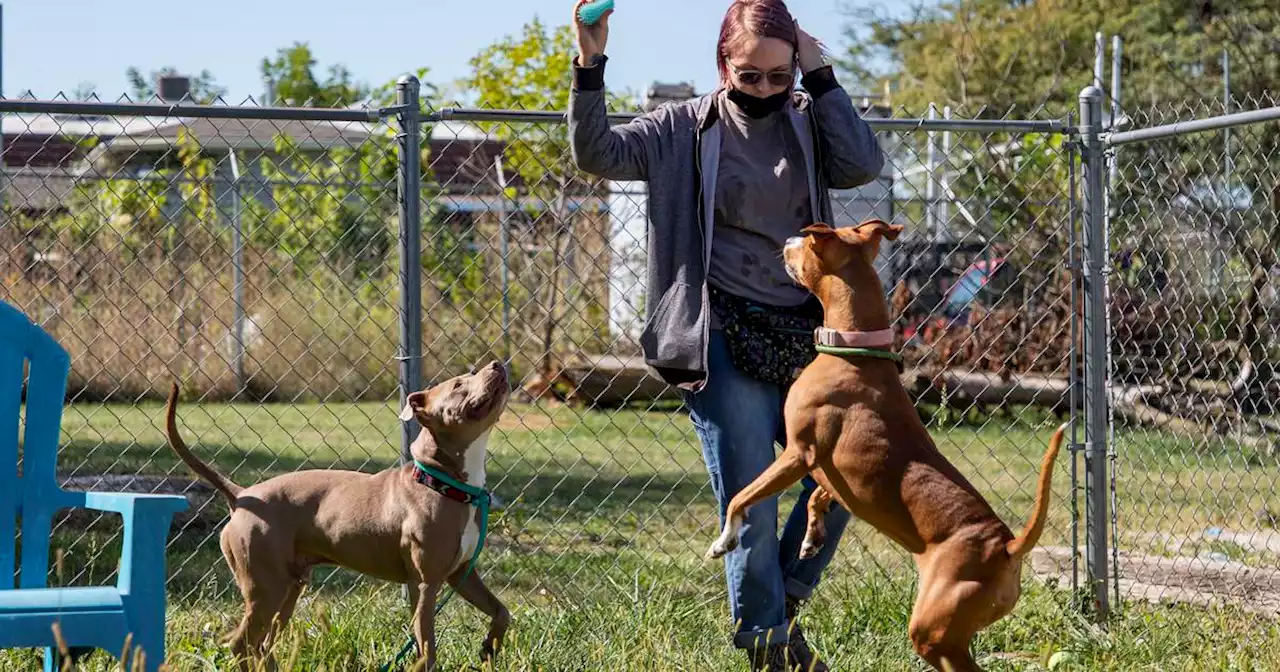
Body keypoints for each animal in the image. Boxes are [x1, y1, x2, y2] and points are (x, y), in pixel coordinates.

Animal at [163, 360, 509, 670]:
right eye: (459, 383)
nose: (497, 363)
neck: (443, 483)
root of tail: (242, 495)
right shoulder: (425, 584)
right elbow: (426, 647)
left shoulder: (462, 574)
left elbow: (501, 611)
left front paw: (489, 648)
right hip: (266, 588)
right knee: (241, 643)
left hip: (288, 589)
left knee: (263, 644)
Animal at [706, 221, 1064, 670]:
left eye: (809, 241)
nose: (785, 240)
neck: (853, 350)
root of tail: (1007, 548)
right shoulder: (823, 468)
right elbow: (818, 495)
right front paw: (812, 536)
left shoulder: (796, 453)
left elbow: (740, 496)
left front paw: (724, 540)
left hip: (932, 633)